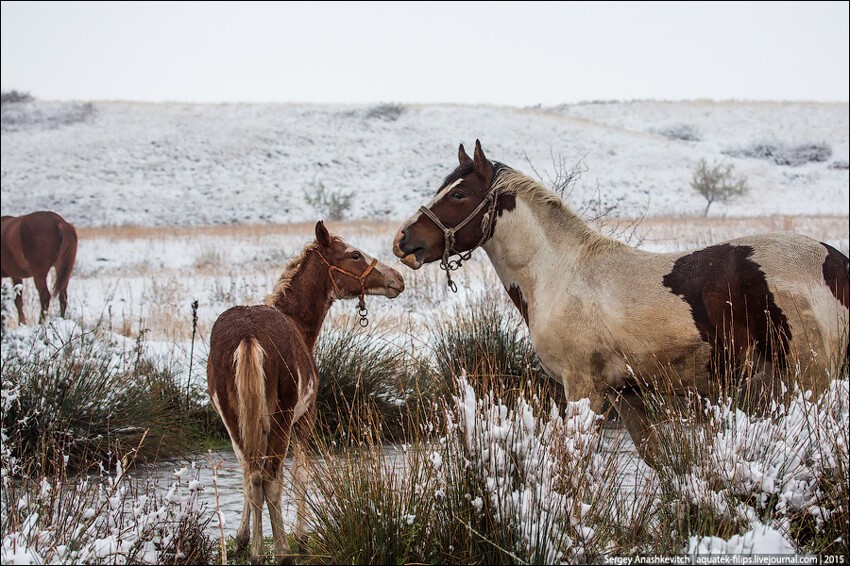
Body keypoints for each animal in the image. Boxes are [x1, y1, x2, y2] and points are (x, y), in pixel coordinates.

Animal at [207, 222, 402, 566]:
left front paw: (242, 539)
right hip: (282, 417)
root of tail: (248, 339)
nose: (397, 279)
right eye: (354, 254)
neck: (300, 324)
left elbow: (246, 476)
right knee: (271, 479)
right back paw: (281, 550)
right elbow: (300, 474)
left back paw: (255, 550)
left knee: (253, 474)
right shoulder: (305, 418)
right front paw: (300, 538)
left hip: (233, 417)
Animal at [392, 141, 848, 470]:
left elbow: (573, 465)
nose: (404, 241)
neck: (561, 272)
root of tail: (832, 260)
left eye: (460, 194)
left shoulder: (583, 390)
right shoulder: (625, 393)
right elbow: (658, 459)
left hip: (811, 382)